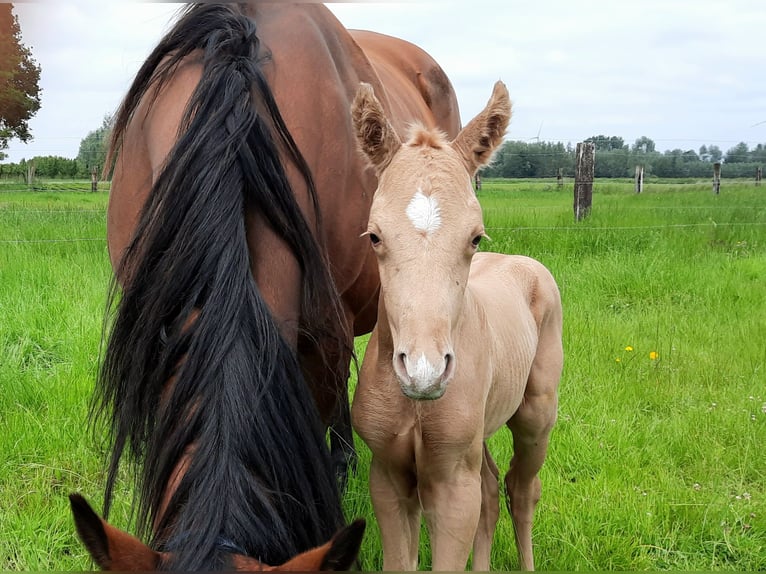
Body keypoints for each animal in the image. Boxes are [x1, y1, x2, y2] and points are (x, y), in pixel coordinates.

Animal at [352, 81, 564, 572]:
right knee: (489, 487)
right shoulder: (388, 476)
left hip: (537, 415)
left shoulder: (451, 484)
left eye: (474, 237)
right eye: (375, 236)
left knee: (521, 488)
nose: (424, 372)